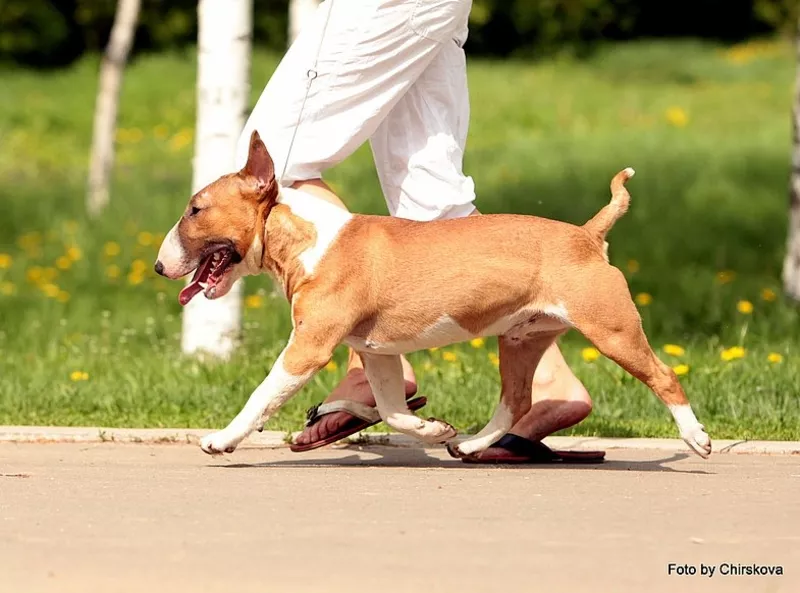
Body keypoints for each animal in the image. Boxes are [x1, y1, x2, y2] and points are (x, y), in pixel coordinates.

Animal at [156, 132, 712, 460]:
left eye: (195, 209)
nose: (160, 266)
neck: (309, 240)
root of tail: (588, 234)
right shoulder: (376, 352)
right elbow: (393, 409)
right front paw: (435, 430)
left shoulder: (308, 348)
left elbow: (261, 396)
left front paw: (221, 439)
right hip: (521, 337)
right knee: (517, 399)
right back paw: (470, 444)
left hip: (611, 328)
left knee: (664, 375)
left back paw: (698, 439)